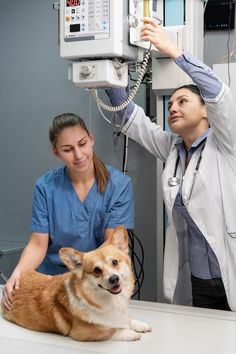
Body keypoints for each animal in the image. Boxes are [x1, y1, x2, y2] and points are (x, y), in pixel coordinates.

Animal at [2, 227, 151, 340]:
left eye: (114, 262)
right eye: (97, 270)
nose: (114, 279)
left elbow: (128, 319)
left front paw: (139, 325)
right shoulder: (84, 333)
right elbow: (111, 331)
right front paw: (130, 333)